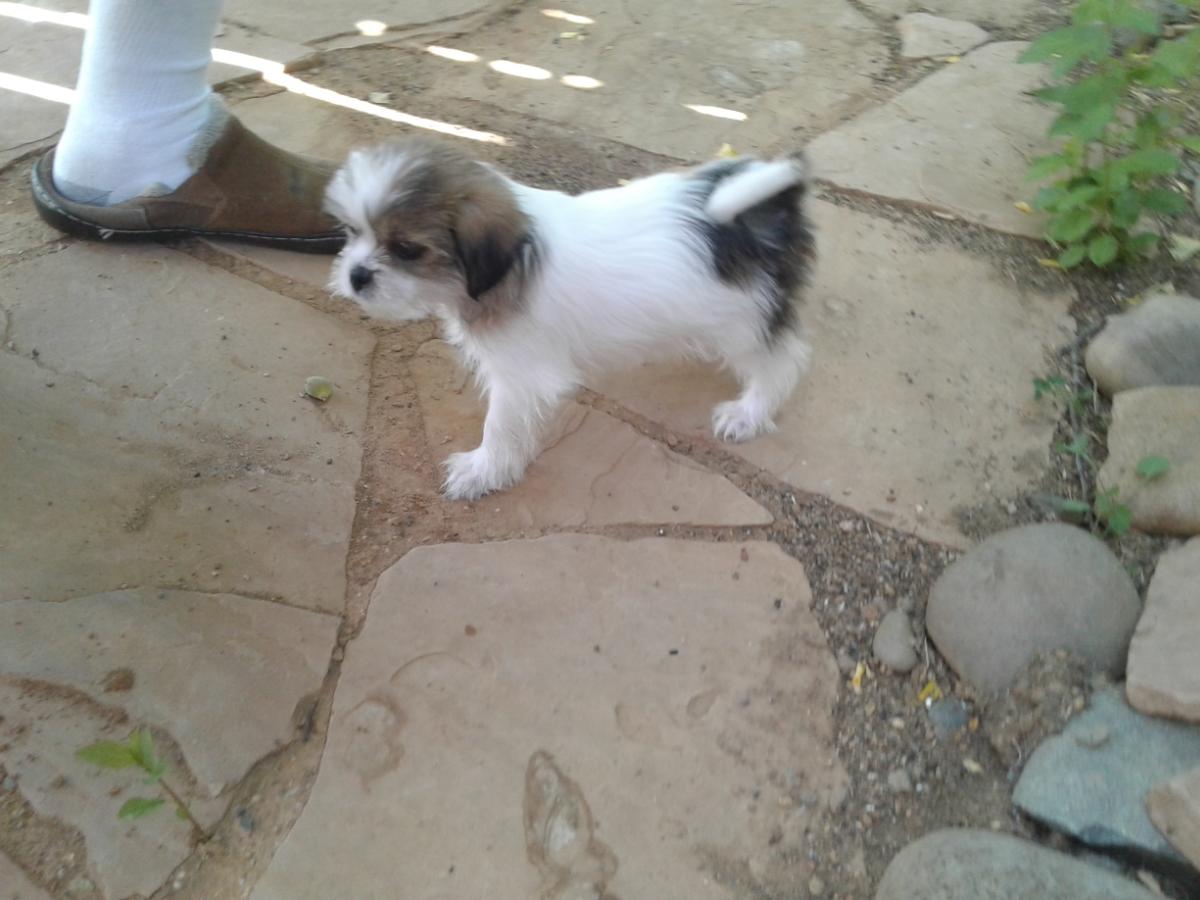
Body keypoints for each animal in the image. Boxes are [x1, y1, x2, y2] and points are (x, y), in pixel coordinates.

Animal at [325, 136, 815, 500]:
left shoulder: (519, 376)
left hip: (742, 320)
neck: (510, 261)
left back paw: (749, 412)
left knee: (782, 360)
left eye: (407, 249)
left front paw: (483, 470)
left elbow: (499, 426)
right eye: (351, 231)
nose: (356, 276)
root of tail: (770, 207)